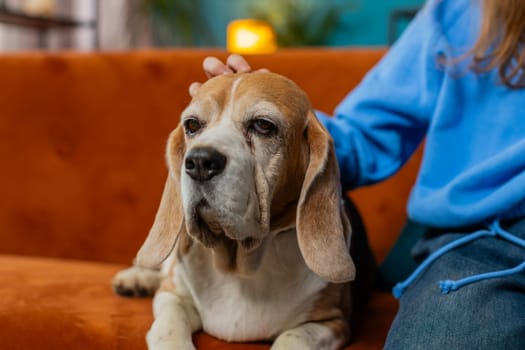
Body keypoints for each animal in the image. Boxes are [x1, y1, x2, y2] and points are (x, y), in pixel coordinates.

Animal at [113, 72, 360, 350]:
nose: (199, 162)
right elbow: (170, 325)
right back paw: (136, 278)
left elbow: (293, 337)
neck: (238, 264)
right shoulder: (172, 295)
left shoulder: (334, 322)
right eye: (192, 125)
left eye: (263, 125)